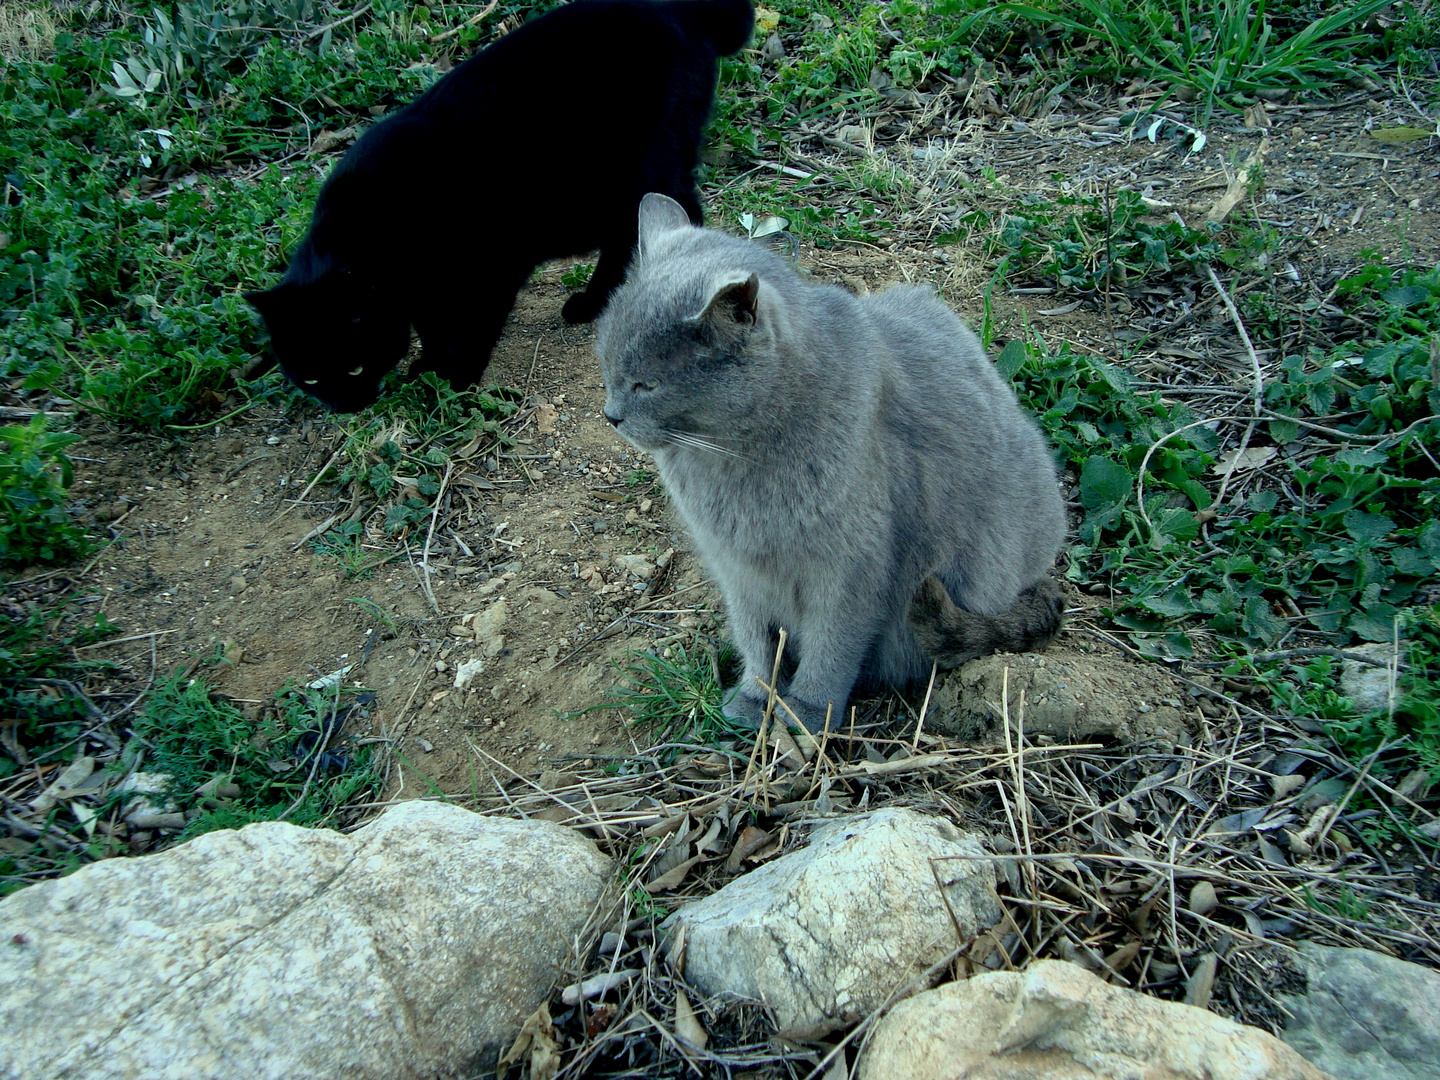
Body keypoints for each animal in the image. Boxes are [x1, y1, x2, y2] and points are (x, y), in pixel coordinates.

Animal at [249, 0, 760, 411]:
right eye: (310, 379)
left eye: (354, 367)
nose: (345, 406)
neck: (372, 236)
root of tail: (676, 7)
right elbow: (433, 327)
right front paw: (428, 369)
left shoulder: (490, 269)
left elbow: (468, 332)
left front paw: (451, 382)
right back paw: (596, 303)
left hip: (645, 168)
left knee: (674, 215)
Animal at [596, 194, 1071, 737]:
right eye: (606, 368)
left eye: (646, 385)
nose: (611, 414)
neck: (727, 460)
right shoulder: (738, 572)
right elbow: (756, 639)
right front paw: (755, 697)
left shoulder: (853, 571)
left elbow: (832, 648)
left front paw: (804, 715)